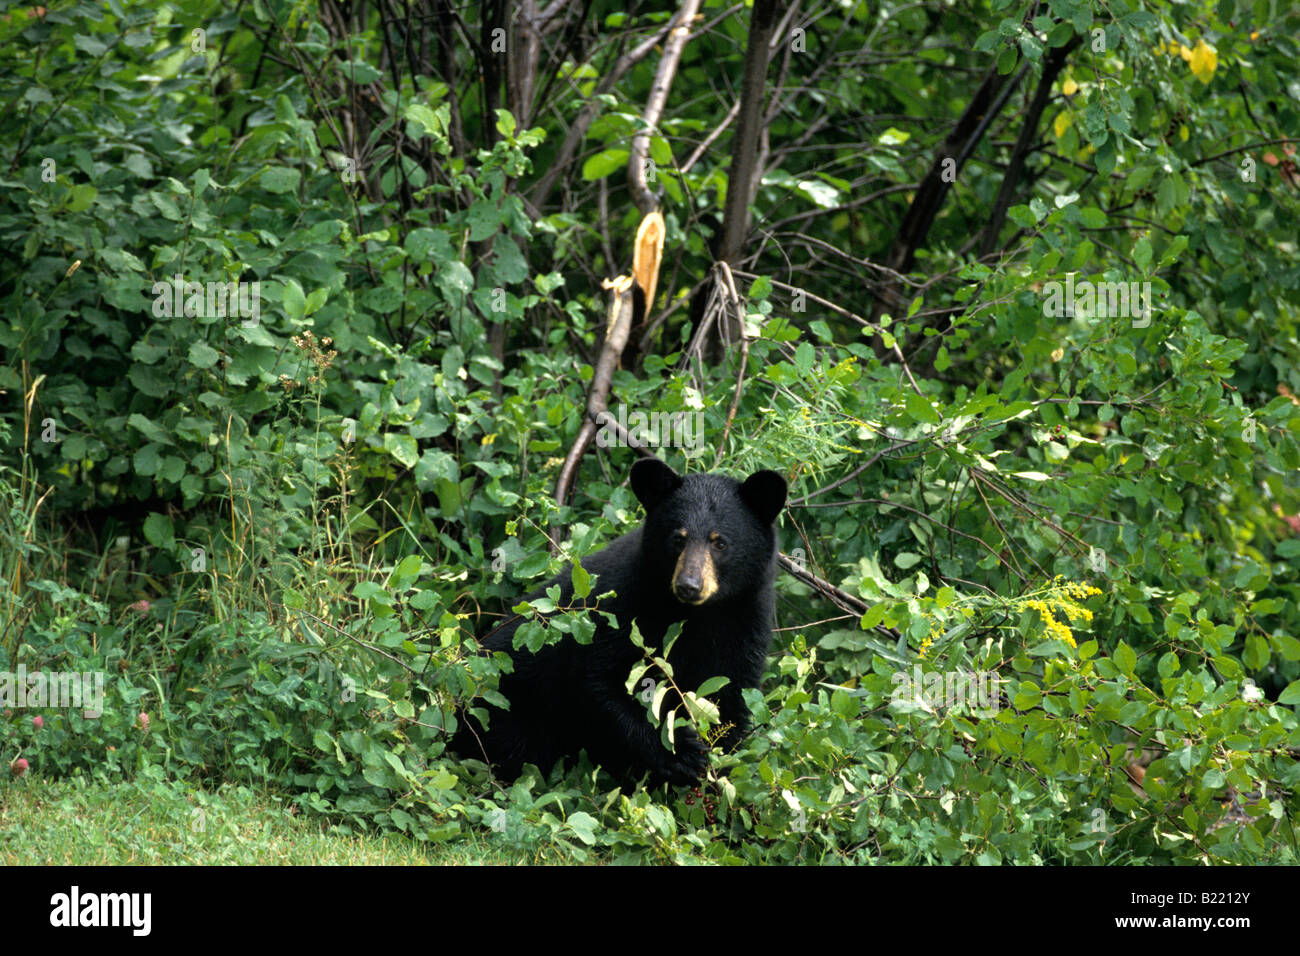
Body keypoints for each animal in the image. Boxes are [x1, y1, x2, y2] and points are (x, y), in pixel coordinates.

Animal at [451, 458, 787, 786]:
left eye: (720, 543)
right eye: (678, 539)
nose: (689, 585)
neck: (695, 615)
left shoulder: (745, 622)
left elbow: (730, 696)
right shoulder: (622, 607)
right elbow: (598, 682)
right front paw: (680, 751)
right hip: (506, 707)